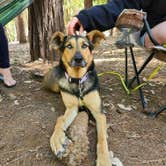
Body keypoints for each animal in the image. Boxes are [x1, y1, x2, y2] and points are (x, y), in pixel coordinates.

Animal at [43, 30, 111, 166]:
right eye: (69, 46)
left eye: (84, 45)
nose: (78, 59)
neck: (78, 80)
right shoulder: (72, 108)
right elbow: (60, 120)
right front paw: (57, 139)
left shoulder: (99, 113)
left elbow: (102, 138)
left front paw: (104, 159)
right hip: (54, 84)